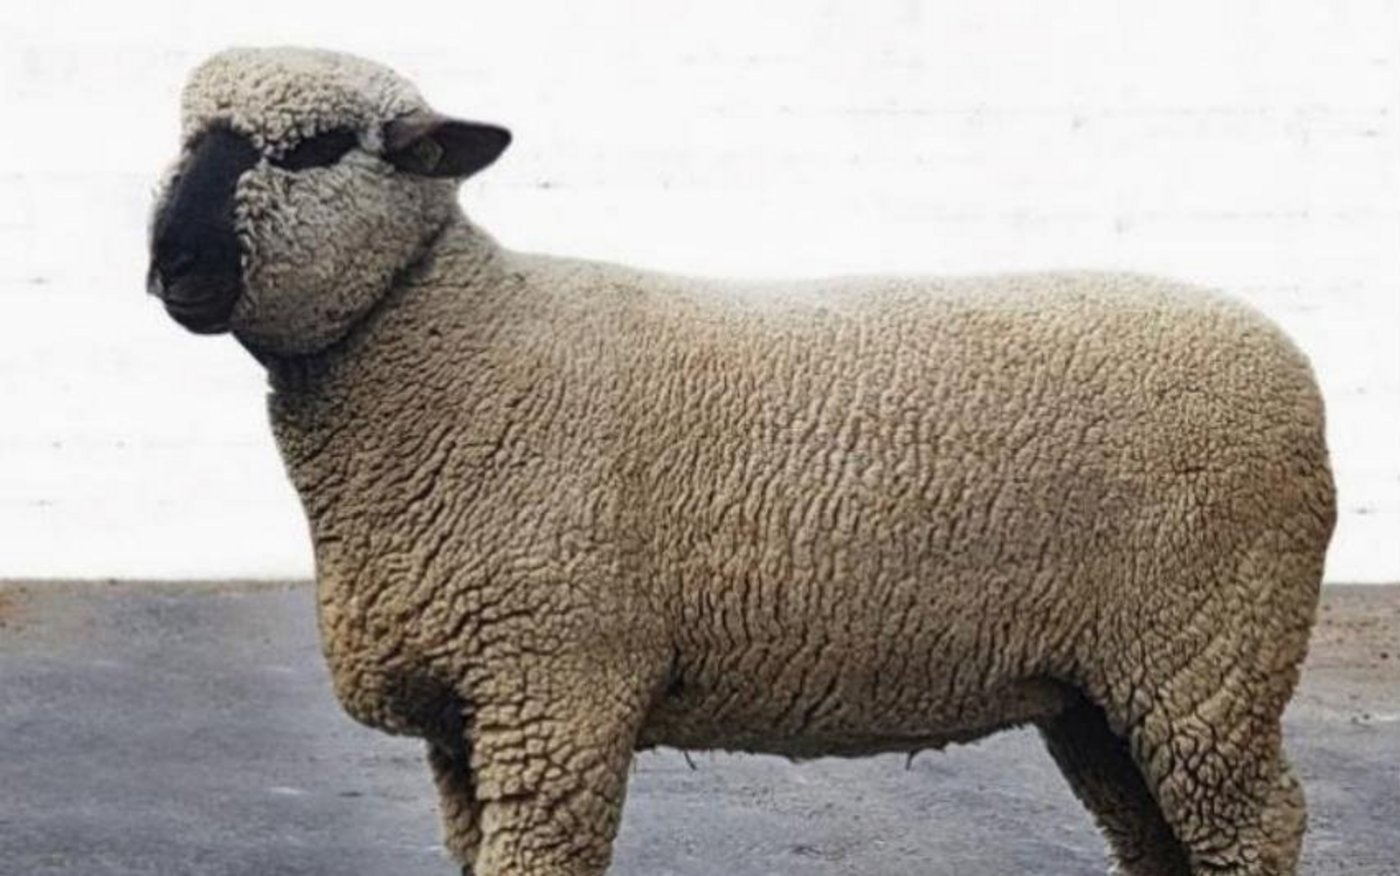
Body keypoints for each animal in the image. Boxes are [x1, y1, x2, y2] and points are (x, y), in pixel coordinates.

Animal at [147, 47, 1336, 876]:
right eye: (186, 138)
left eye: (315, 148)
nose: (173, 262)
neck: (456, 345)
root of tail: (1287, 358)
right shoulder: (467, 708)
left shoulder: (556, 685)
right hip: (1104, 688)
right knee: (1154, 835)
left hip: (1207, 652)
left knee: (1254, 825)